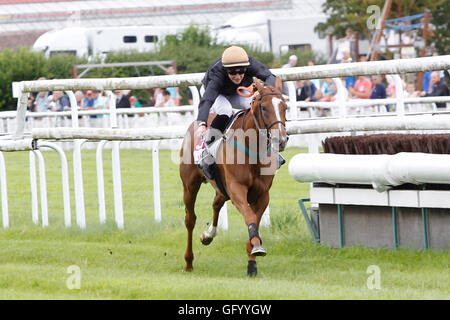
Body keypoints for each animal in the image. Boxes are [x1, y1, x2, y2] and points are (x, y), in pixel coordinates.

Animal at [179, 76, 288, 276]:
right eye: (264, 107)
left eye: (284, 106)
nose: (281, 139)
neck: (253, 150)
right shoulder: (237, 189)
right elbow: (250, 217)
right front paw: (256, 247)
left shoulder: (263, 195)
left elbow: (254, 220)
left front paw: (252, 261)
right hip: (190, 185)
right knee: (190, 219)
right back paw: (189, 262)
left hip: (221, 187)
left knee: (216, 203)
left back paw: (209, 235)